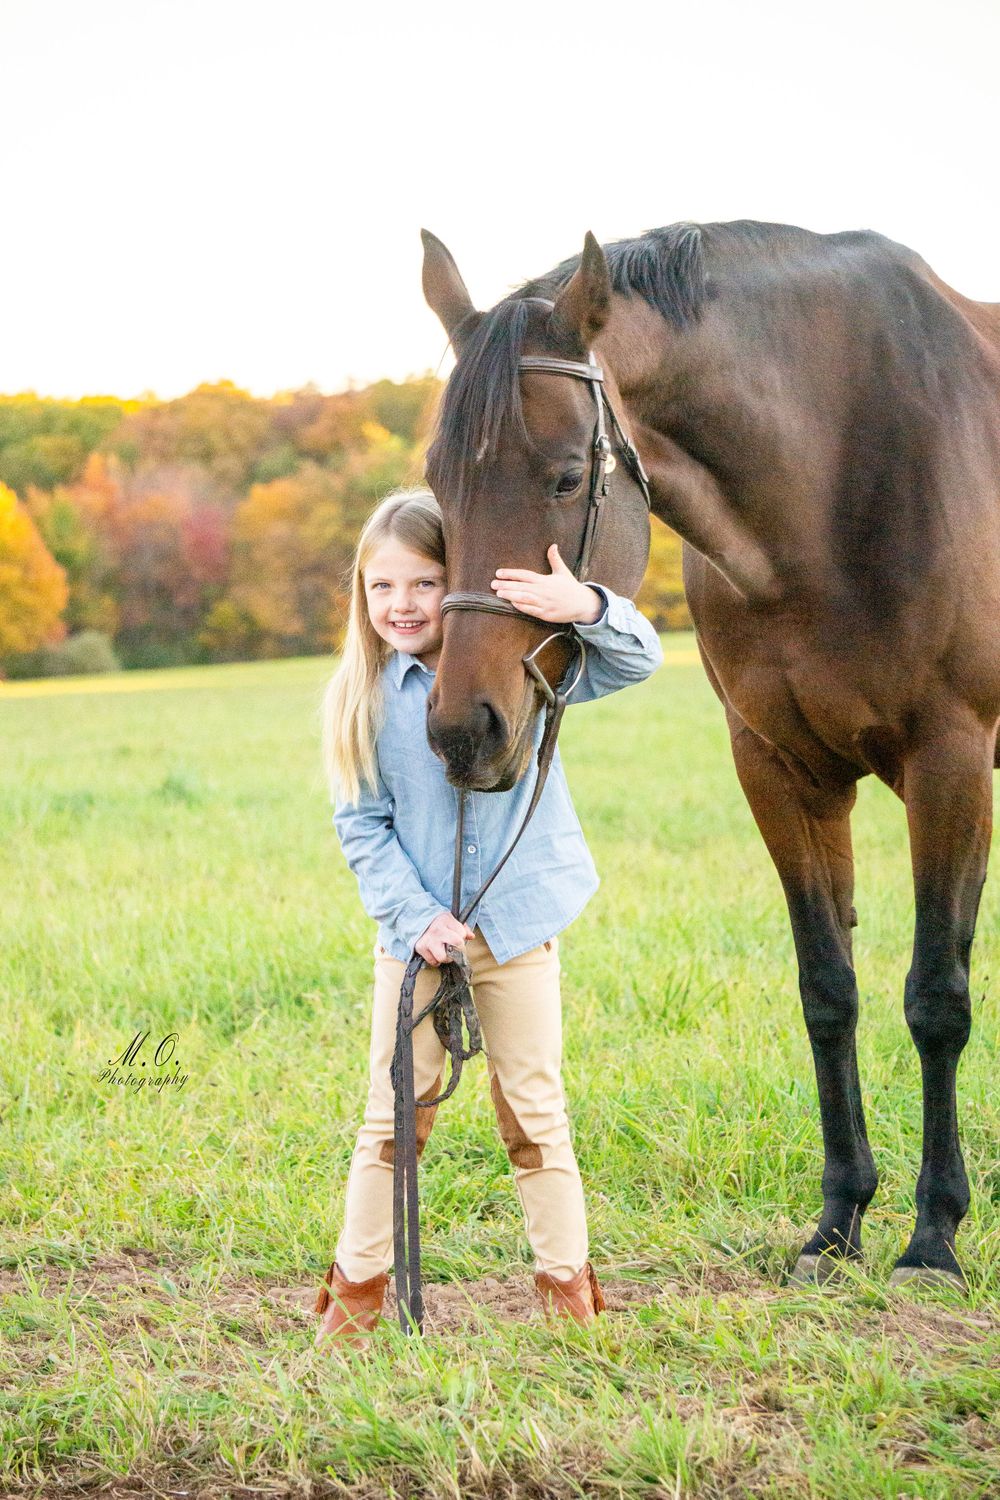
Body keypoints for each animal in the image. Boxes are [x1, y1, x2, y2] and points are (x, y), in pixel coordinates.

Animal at [419, 219, 1000, 1289]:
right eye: (441, 481)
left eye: (567, 476)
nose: (463, 730)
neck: (834, 471)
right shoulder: (780, 772)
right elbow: (828, 991)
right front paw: (838, 1221)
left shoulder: (949, 761)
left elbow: (936, 995)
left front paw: (933, 1237)